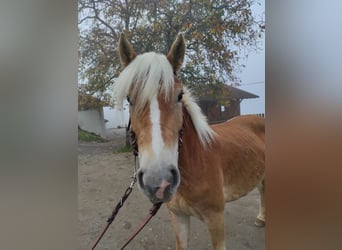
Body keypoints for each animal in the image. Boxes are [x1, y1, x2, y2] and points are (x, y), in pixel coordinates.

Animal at [113, 33, 266, 250]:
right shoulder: (178, 217)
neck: (196, 163)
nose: (159, 181)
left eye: (179, 95)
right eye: (129, 99)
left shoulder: (216, 220)